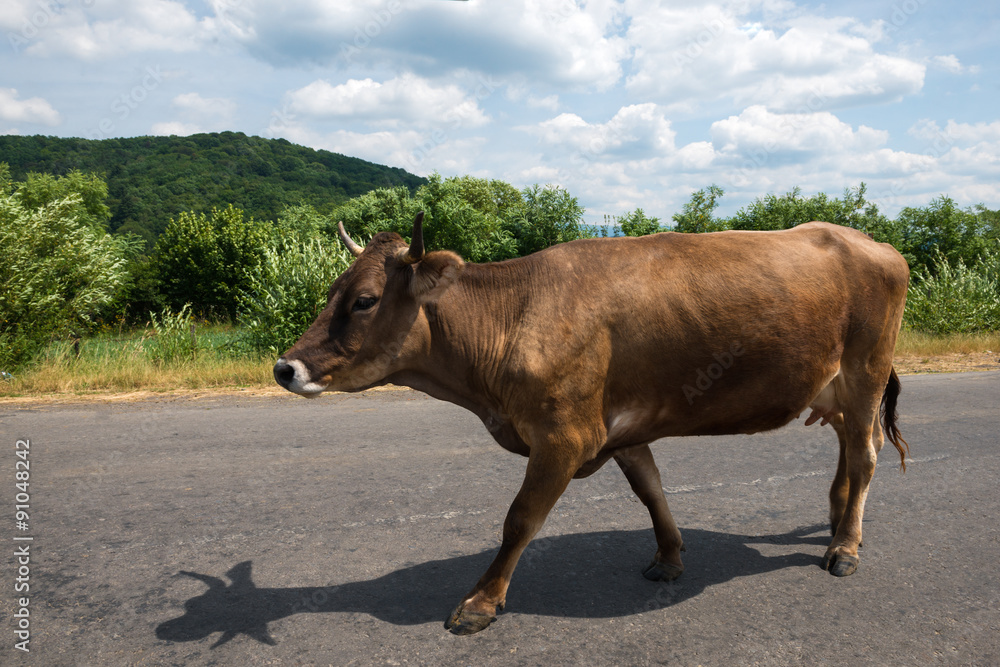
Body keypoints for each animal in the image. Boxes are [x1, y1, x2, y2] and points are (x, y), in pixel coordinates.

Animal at [272, 214, 908, 636]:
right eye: (332, 290)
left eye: (364, 300)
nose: (285, 367)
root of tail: (865, 240)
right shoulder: (620, 430)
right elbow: (651, 492)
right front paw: (670, 557)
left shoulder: (563, 436)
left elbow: (519, 520)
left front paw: (480, 603)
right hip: (836, 387)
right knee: (849, 451)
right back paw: (836, 521)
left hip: (866, 370)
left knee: (866, 454)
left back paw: (844, 547)